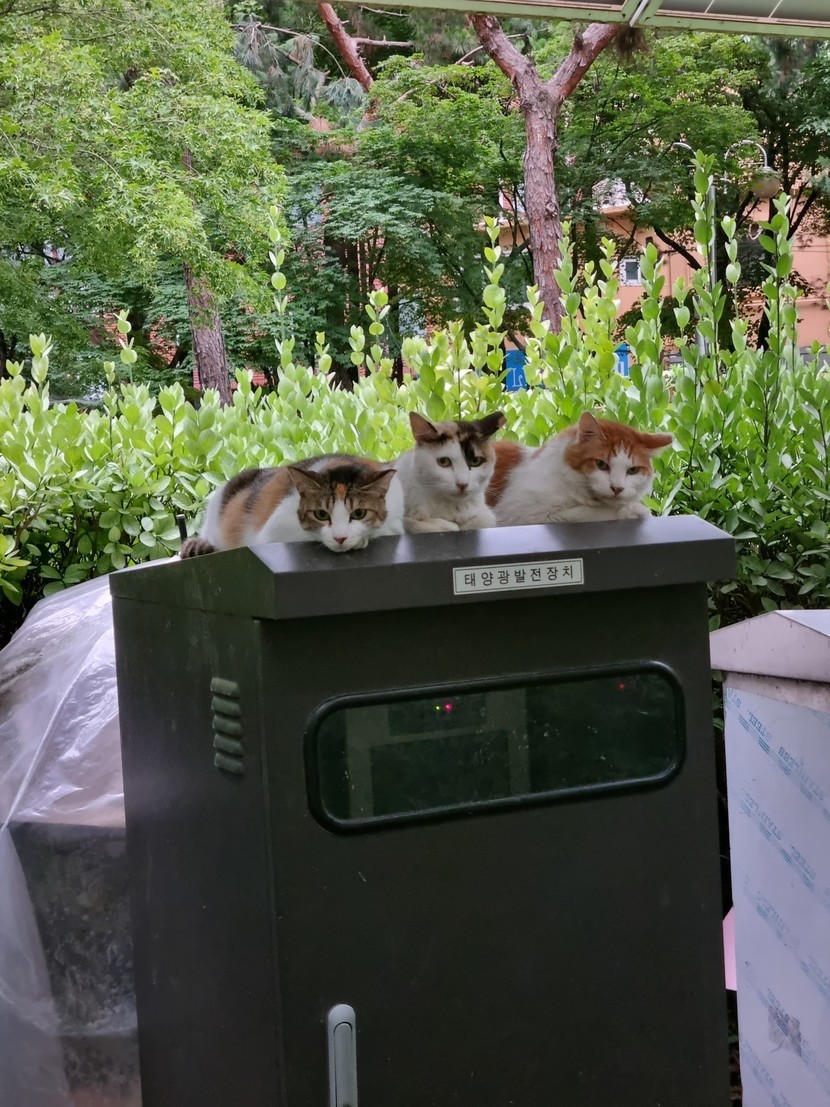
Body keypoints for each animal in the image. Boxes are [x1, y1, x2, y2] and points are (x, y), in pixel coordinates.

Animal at [488, 411, 672, 525]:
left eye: (633, 470)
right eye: (601, 464)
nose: (617, 488)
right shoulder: (520, 516)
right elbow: (585, 513)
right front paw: (632, 511)